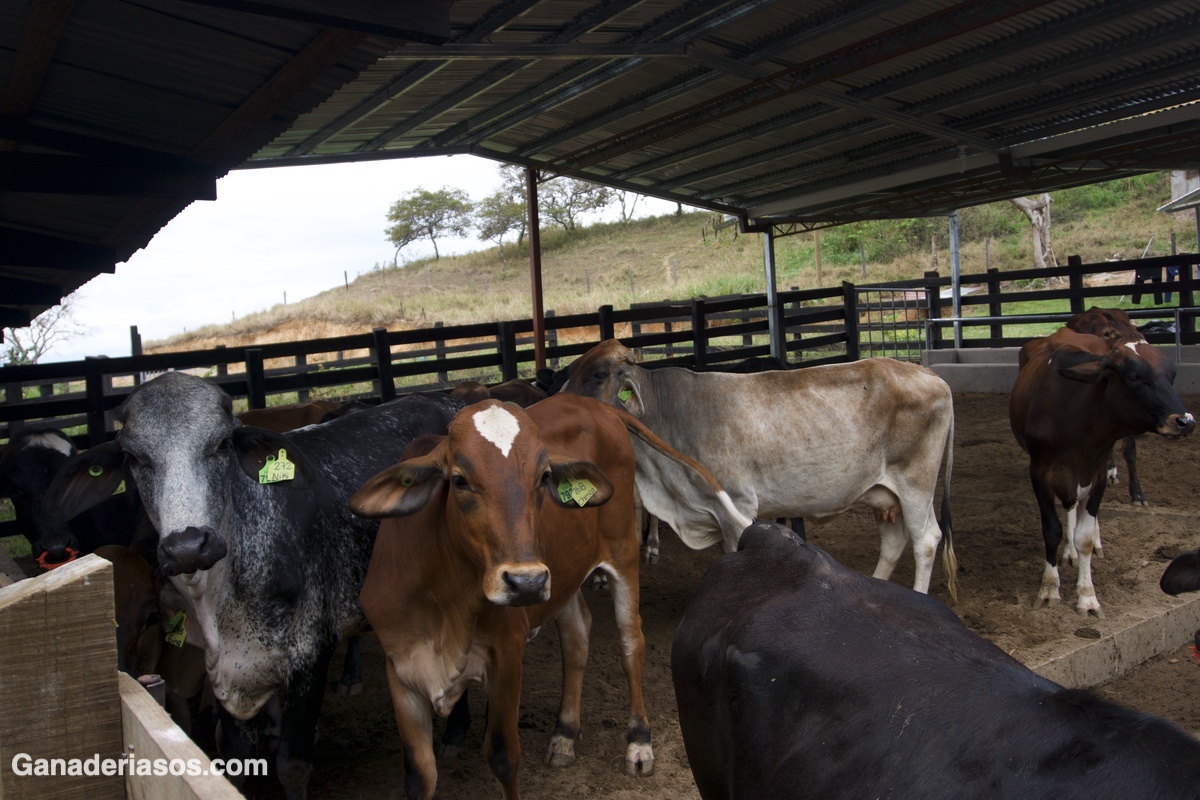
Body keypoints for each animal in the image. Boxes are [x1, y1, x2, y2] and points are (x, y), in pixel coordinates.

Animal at [46, 376, 460, 800]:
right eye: (133, 458)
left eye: (222, 443)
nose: (187, 546)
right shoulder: (221, 670)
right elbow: (234, 755)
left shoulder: (310, 654)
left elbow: (293, 765)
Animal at [348, 393, 744, 800]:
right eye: (459, 480)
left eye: (544, 477)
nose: (527, 582)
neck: (444, 600)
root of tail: (593, 403)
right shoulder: (401, 669)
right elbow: (419, 775)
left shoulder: (506, 656)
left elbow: (503, 756)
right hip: (565, 573)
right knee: (576, 636)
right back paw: (565, 733)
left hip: (621, 550)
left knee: (631, 642)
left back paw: (638, 741)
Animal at [1012, 328, 1190, 618]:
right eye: (1134, 376)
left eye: (1171, 375)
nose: (1185, 421)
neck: (1074, 412)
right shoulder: (1038, 471)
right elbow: (1052, 529)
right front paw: (1049, 589)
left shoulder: (1096, 473)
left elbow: (1083, 536)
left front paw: (1087, 596)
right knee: (1070, 506)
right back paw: (1069, 552)